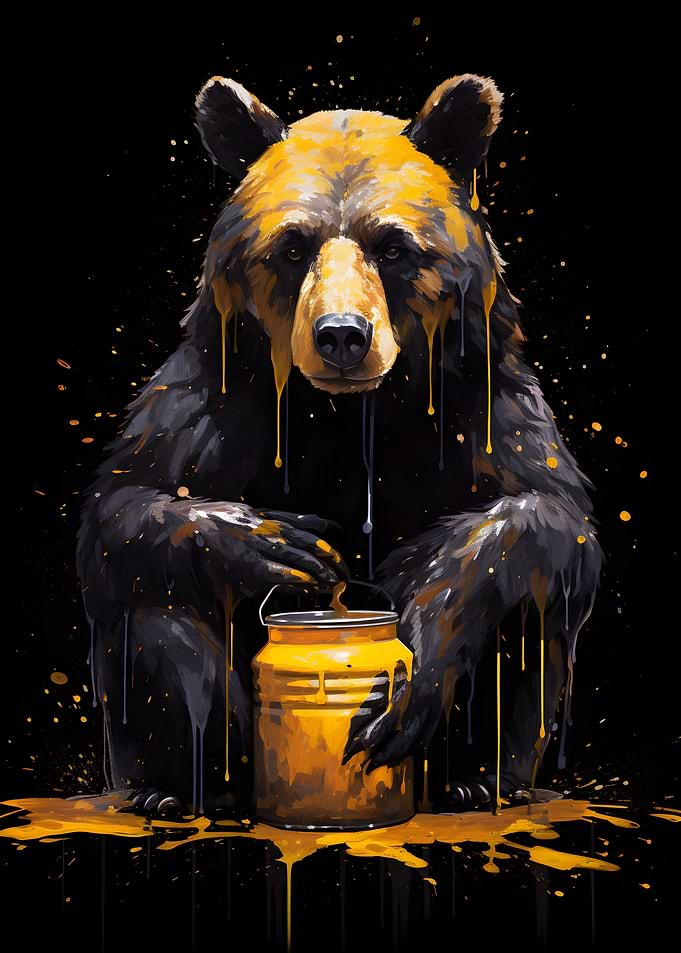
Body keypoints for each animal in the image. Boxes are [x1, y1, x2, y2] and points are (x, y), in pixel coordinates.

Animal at [76, 72, 603, 818]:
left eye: (392, 246)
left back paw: (478, 781)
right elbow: (124, 504)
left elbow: (549, 518)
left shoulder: (481, 404)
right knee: (154, 603)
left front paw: (420, 598)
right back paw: (181, 788)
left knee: (525, 612)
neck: (351, 414)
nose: (342, 336)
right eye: (294, 247)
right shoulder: (217, 397)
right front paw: (276, 544)